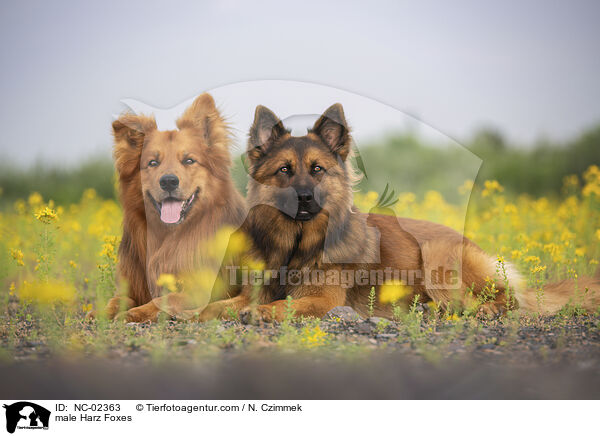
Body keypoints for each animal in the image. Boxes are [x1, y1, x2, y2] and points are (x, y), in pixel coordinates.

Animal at [99, 93, 248, 322]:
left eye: (189, 160)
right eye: (152, 163)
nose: (168, 181)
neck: (167, 237)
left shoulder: (197, 291)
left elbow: (162, 300)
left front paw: (134, 313)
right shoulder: (130, 286)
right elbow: (115, 300)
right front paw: (100, 313)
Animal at [197, 101, 600, 320]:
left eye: (317, 169)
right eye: (284, 170)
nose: (306, 198)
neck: (297, 245)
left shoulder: (323, 299)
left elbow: (286, 305)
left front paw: (260, 313)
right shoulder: (252, 289)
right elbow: (215, 307)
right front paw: (194, 314)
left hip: (439, 258)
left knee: (507, 299)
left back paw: (482, 309)